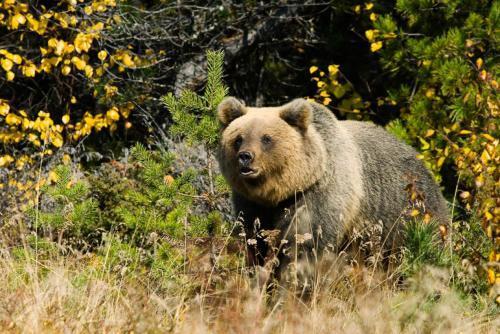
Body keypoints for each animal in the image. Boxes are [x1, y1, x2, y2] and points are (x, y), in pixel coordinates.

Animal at [215, 96, 450, 272]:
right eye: (238, 138)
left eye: (266, 138)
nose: (245, 157)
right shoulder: (251, 205)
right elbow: (256, 241)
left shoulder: (320, 196)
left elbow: (306, 244)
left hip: (409, 216)